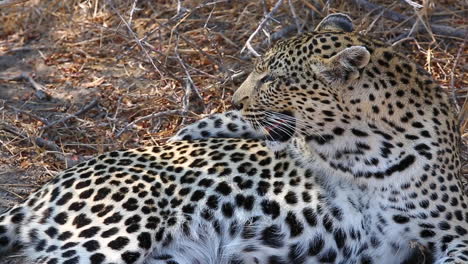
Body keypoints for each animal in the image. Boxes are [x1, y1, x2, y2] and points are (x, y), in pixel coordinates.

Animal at [0, 13, 466, 264]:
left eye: (273, 79)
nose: (237, 100)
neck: (360, 152)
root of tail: (46, 188)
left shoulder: (456, 233)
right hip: (113, 234)